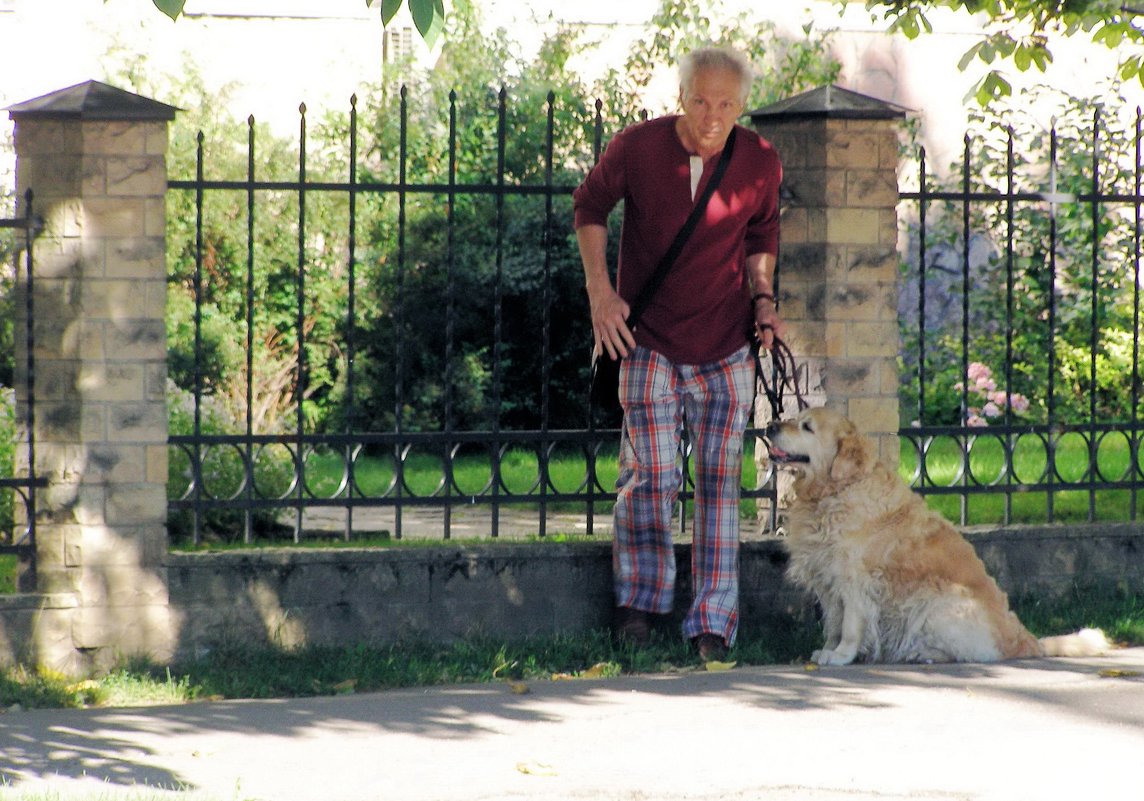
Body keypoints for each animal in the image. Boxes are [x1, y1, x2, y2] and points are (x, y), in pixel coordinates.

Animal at [759, 409, 1107, 668]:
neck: (835, 490)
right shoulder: (828, 580)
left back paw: (924, 654)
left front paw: (842, 656)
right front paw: (827, 650)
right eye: (794, 417)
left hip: (937, 601)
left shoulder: (856, 581)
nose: (770, 425)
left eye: (807, 426)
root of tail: (1027, 640)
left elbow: (849, 625)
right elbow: (833, 622)